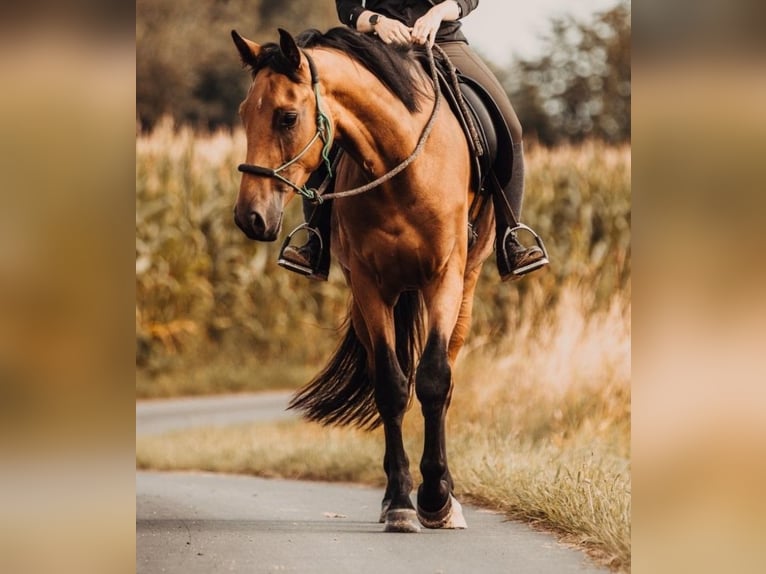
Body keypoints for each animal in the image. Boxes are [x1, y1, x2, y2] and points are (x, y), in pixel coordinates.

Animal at [231, 26, 495, 533]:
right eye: (243, 114)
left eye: (287, 117)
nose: (250, 218)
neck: (401, 166)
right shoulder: (371, 287)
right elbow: (391, 386)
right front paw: (400, 502)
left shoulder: (445, 280)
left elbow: (433, 379)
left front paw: (435, 498)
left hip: (465, 291)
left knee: (445, 379)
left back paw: (448, 498)